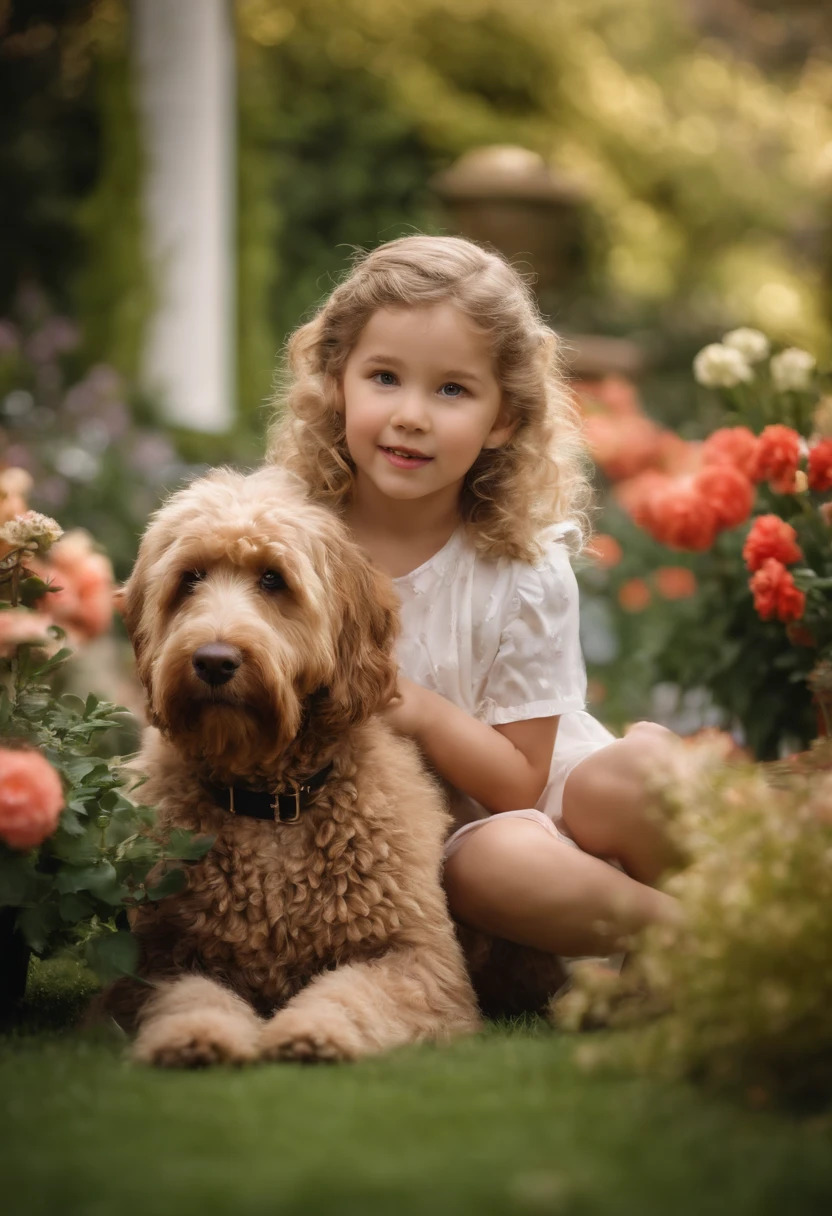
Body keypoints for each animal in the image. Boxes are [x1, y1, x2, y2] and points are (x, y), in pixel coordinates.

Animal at [107, 464, 476, 1065]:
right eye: (190, 579)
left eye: (272, 579)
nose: (214, 661)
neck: (271, 803)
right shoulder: (157, 958)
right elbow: (191, 995)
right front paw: (196, 1038)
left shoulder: (418, 962)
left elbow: (353, 992)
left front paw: (313, 1033)